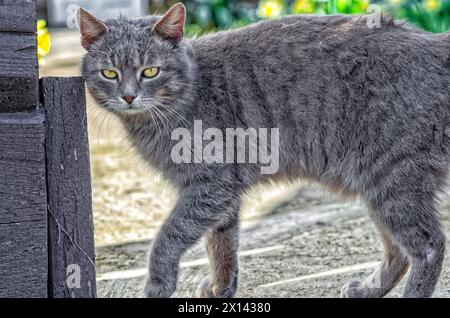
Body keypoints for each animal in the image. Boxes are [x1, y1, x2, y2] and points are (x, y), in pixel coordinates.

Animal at [78, 2, 450, 296]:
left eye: (150, 70)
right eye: (109, 73)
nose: (128, 96)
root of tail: (432, 42)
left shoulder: (211, 185)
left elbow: (168, 237)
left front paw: (158, 284)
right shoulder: (221, 195)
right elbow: (221, 245)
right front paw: (220, 289)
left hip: (392, 176)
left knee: (429, 246)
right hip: (376, 185)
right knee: (398, 251)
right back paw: (367, 289)